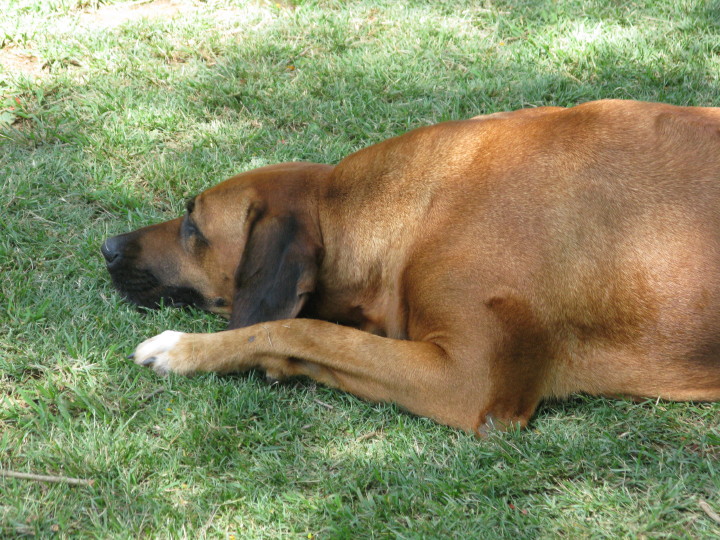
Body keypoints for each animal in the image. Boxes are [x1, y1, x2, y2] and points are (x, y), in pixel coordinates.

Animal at [102, 99, 720, 434]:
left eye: (192, 226)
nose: (107, 246)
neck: (419, 214)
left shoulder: (467, 383)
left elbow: (302, 329)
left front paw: (187, 350)